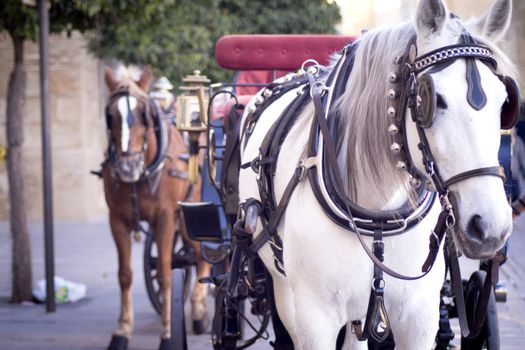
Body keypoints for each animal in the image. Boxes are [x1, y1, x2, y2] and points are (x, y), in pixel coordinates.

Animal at [101, 66, 210, 350]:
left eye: (145, 114)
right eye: (110, 115)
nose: (127, 167)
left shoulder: (165, 218)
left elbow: (164, 274)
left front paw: (168, 332)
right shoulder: (116, 220)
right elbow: (125, 275)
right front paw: (122, 331)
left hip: (192, 215)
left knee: (203, 256)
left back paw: (199, 310)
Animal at [237, 1, 516, 348]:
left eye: (505, 103)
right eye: (432, 99)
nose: (490, 227)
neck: (377, 211)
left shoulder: (419, 316)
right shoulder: (315, 318)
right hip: (286, 292)